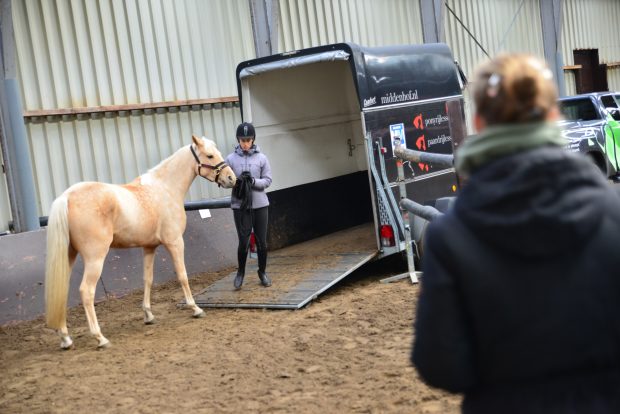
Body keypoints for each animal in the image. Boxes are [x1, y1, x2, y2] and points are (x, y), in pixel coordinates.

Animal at [44, 134, 236, 348]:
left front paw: (148, 315)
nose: (231, 178)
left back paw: (65, 338)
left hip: (68, 256)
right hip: (95, 258)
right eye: (210, 155)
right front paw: (195, 309)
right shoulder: (175, 242)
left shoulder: (149, 247)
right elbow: (182, 275)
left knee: (60, 293)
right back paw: (100, 338)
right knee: (87, 291)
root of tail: (66, 197)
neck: (165, 189)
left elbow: (148, 279)